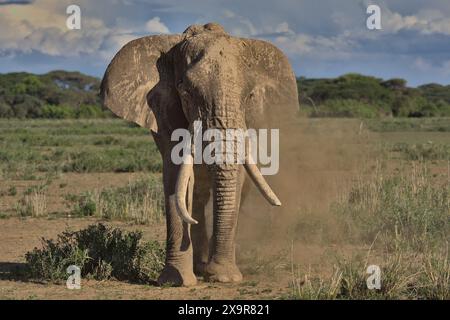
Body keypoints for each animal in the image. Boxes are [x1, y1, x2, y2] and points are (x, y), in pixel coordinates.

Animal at [100, 23, 300, 286]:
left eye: (249, 97)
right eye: (186, 92)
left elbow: (236, 177)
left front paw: (224, 277)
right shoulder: (165, 113)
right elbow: (176, 175)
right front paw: (176, 282)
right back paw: (199, 266)